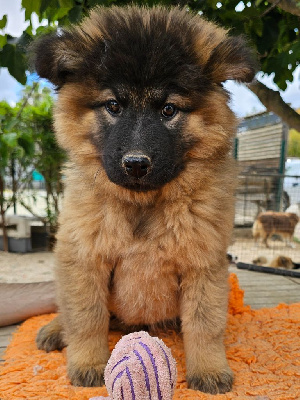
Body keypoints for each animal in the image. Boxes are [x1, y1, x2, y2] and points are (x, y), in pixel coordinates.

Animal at [29, 5, 255, 394]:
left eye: (168, 109)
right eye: (113, 105)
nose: (135, 164)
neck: (142, 205)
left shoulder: (203, 263)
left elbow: (205, 323)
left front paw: (209, 369)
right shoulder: (85, 257)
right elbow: (87, 317)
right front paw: (88, 364)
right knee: (70, 310)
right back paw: (56, 331)